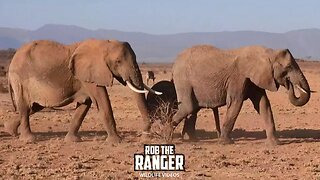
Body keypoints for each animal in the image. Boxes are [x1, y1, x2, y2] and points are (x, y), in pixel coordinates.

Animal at [6, 39, 162, 142]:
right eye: (118, 62)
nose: (143, 135)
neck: (104, 43)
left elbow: (85, 104)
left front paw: (72, 140)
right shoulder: (89, 75)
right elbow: (102, 101)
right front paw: (117, 141)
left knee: (34, 106)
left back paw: (11, 131)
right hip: (20, 79)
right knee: (25, 107)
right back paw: (29, 139)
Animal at [162, 44, 310, 145]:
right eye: (288, 67)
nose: (290, 84)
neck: (268, 53)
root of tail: (174, 63)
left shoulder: (253, 79)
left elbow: (263, 104)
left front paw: (275, 143)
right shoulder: (238, 78)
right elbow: (235, 102)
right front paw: (225, 143)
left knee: (193, 109)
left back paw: (191, 139)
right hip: (183, 80)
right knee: (188, 106)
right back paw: (167, 137)